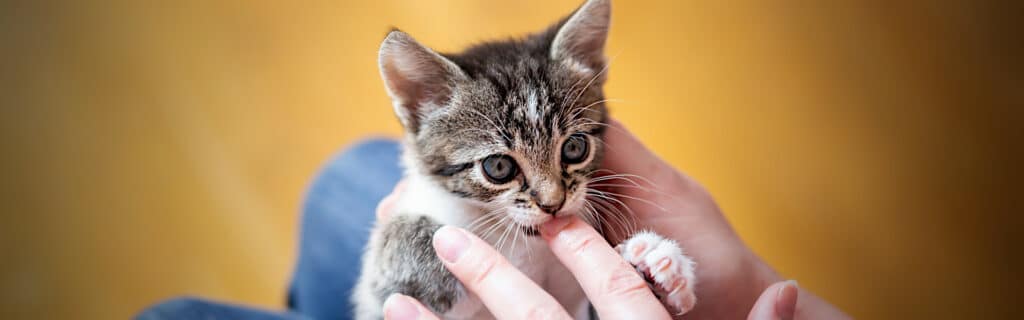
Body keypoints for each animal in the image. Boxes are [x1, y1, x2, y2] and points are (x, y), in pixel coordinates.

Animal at [352, 1, 696, 317]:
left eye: (575, 147)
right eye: (498, 167)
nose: (553, 204)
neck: (524, 242)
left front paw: (653, 260)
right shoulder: (381, 304)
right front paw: (437, 252)